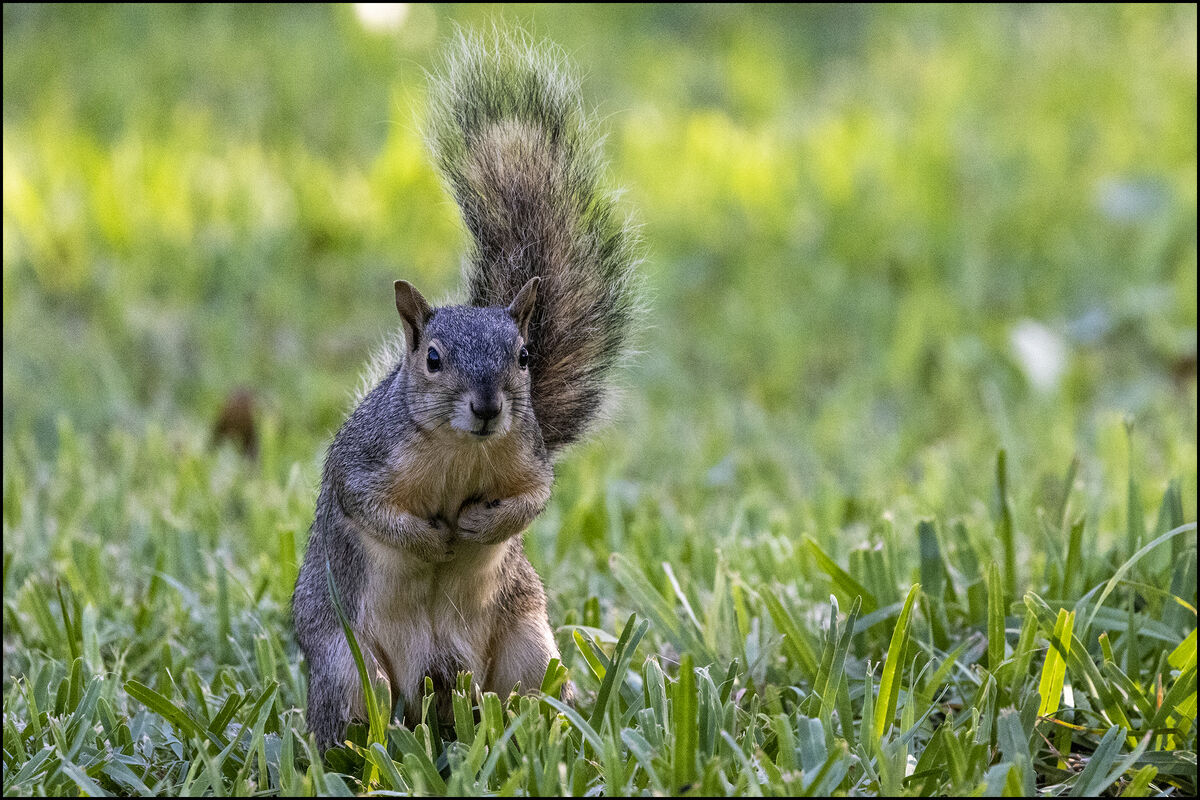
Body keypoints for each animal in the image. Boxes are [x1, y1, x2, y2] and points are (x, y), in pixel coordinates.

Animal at [289, 28, 643, 748]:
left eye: (525, 356)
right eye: (431, 358)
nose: (486, 407)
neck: (461, 451)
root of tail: (437, 681)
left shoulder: (529, 459)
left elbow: (532, 500)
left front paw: (477, 525)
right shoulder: (364, 460)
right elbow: (366, 504)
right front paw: (432, 539)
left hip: (528, 647)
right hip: (348, 668)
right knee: (357, 713)